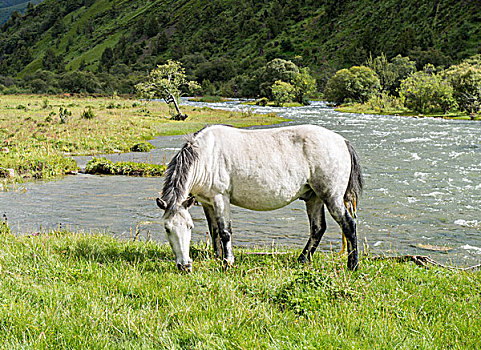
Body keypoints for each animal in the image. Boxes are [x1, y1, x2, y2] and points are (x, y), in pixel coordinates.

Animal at [156, 124, 362, 272]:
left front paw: (228, 262)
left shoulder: (221, 198)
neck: (207, 156)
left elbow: (225, 231)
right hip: (314, 198)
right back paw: (302, 260)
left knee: (348, 224)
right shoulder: (208, 203)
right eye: (167, 228)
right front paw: (218, 257)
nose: (185, 266)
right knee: (318, 229)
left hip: (331, 196)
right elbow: (214, 231)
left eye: (189, 227)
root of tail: (342, 141)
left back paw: (352, 266)